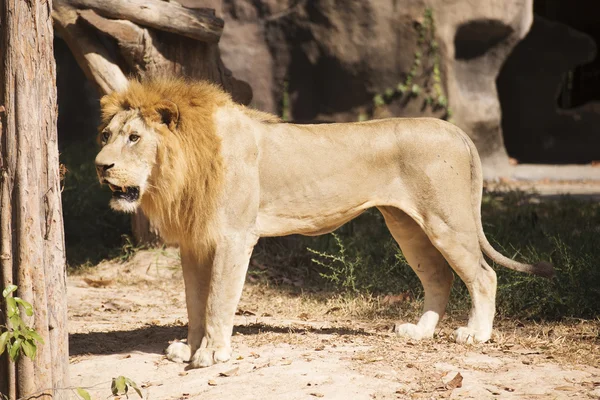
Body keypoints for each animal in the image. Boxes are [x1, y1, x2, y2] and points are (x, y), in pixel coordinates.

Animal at [95, 77, 552, 368]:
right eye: (106, 135)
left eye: (134, 138)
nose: (100, 167)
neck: (179, 170)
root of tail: (456, 130)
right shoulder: (195, 242)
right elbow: (194, 302)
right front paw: (189, 350)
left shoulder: (233, 237)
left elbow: (217, 301)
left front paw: (211, 355)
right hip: (406, 225)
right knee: (439, 275)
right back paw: (420, 333)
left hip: (447, 220)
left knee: (483, 274)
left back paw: (477, 334)